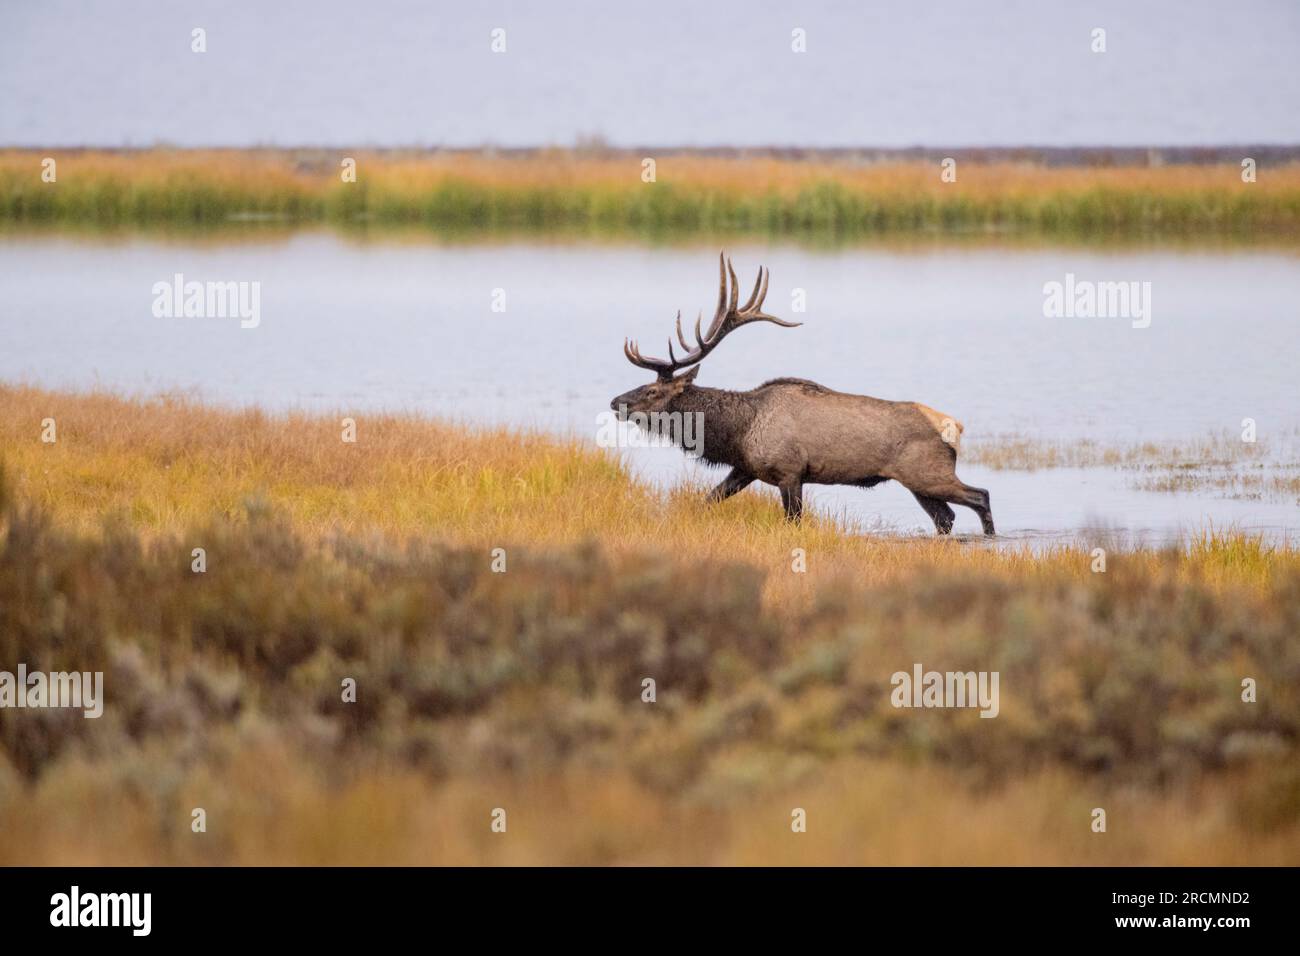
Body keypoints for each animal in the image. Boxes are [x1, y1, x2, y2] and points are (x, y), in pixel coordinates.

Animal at [611, 254, 993, 535]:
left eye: (651, 390)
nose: (616, 402)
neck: (738, 431)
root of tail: (954, 426)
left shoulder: (790, 472)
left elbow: (793, 520)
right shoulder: (745, 469)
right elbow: (708, 499)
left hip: (929, 474)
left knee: (981, 496)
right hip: (918, 483)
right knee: (946, 517)